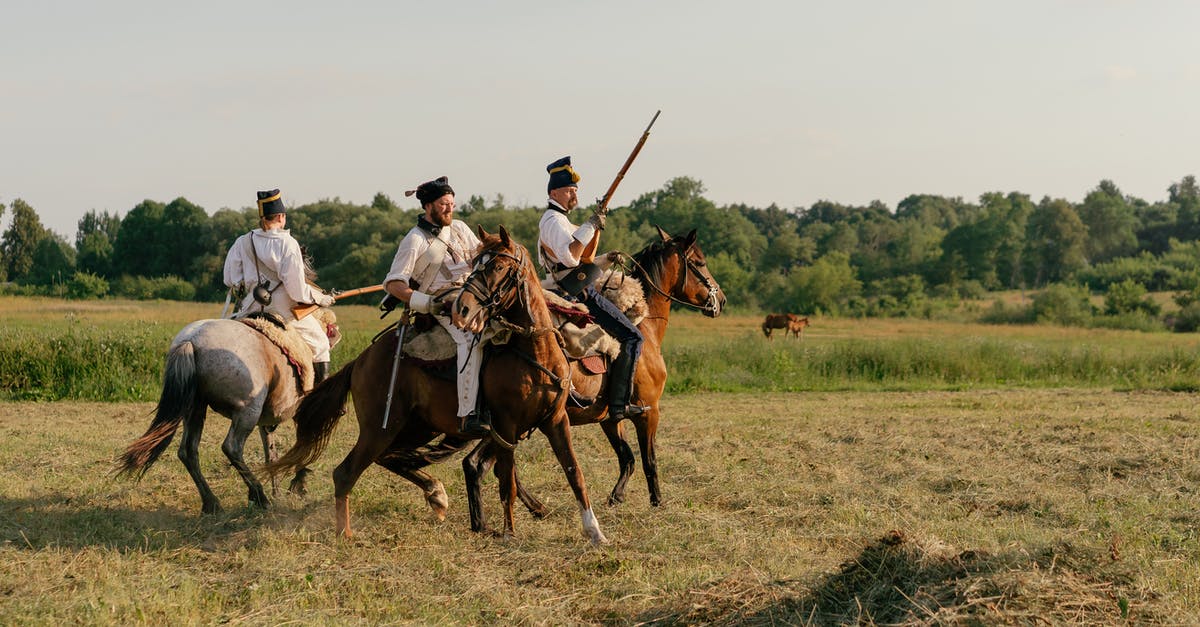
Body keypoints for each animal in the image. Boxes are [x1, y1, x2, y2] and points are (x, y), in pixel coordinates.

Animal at [115, 312, 338, 511]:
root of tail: (191, 341)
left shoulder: (266, 422)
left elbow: (271, 453)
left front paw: (279, 491)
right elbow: (303, 445)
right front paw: (297, 484)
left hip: (196, 409)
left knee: (188, 451)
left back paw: (212, 503)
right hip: (247, 411)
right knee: (231, 447)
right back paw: (258, 496)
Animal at [270, 225, 609, 540]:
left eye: (499, 266)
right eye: (477, 265)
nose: (463, 308)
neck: (534, 351)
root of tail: (360, 361)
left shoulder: (555, 420)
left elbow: (574, 473)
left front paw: (594, 531)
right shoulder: (506, 428)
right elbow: (506, 482)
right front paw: (509, 534)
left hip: (416, 428)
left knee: (389, 458)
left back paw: (436, 494)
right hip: (380, 429)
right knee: (346, 473)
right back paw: (347, 533)